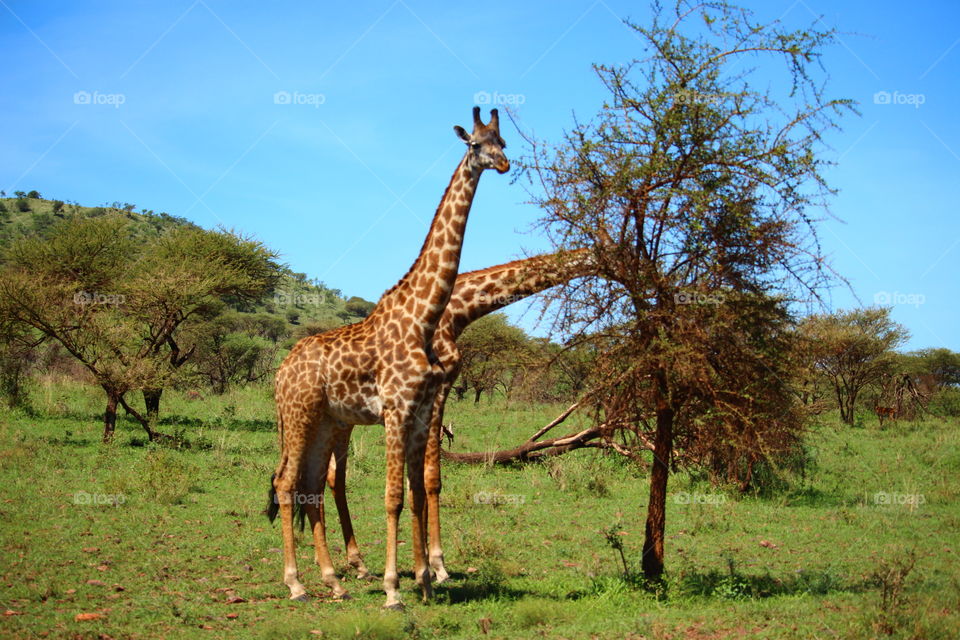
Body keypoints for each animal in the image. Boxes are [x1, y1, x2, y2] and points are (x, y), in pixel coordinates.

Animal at [267, 107, 508, 608]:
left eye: (504, 141)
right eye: (475, 144)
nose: (502, 165)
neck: (424, 316)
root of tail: (279, 372)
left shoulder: (419, 411)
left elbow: (417, 492)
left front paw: (425, 582)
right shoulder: (396, 411)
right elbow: (393, 496)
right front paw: (394, 589)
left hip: (324, 422)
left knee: (311, 487)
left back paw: (333, 581)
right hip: (299, 418)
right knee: (285, 484)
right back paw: (296, 583)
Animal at [324, 247, 597, 583]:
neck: (457, 312)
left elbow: (422, 477)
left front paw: (426, 563)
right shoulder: (439, 388)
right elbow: (432, 478)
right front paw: (437, 566)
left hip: (342, 420)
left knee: (333, 475)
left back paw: (356, 563)